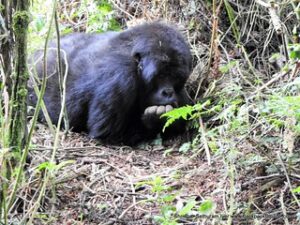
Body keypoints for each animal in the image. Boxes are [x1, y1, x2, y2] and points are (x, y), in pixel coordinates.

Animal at [29, 22, 193, 144]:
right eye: (161, 75)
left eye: (175, 77)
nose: (168, 92)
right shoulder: (120, 79)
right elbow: (107, 133)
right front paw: (155, 119)